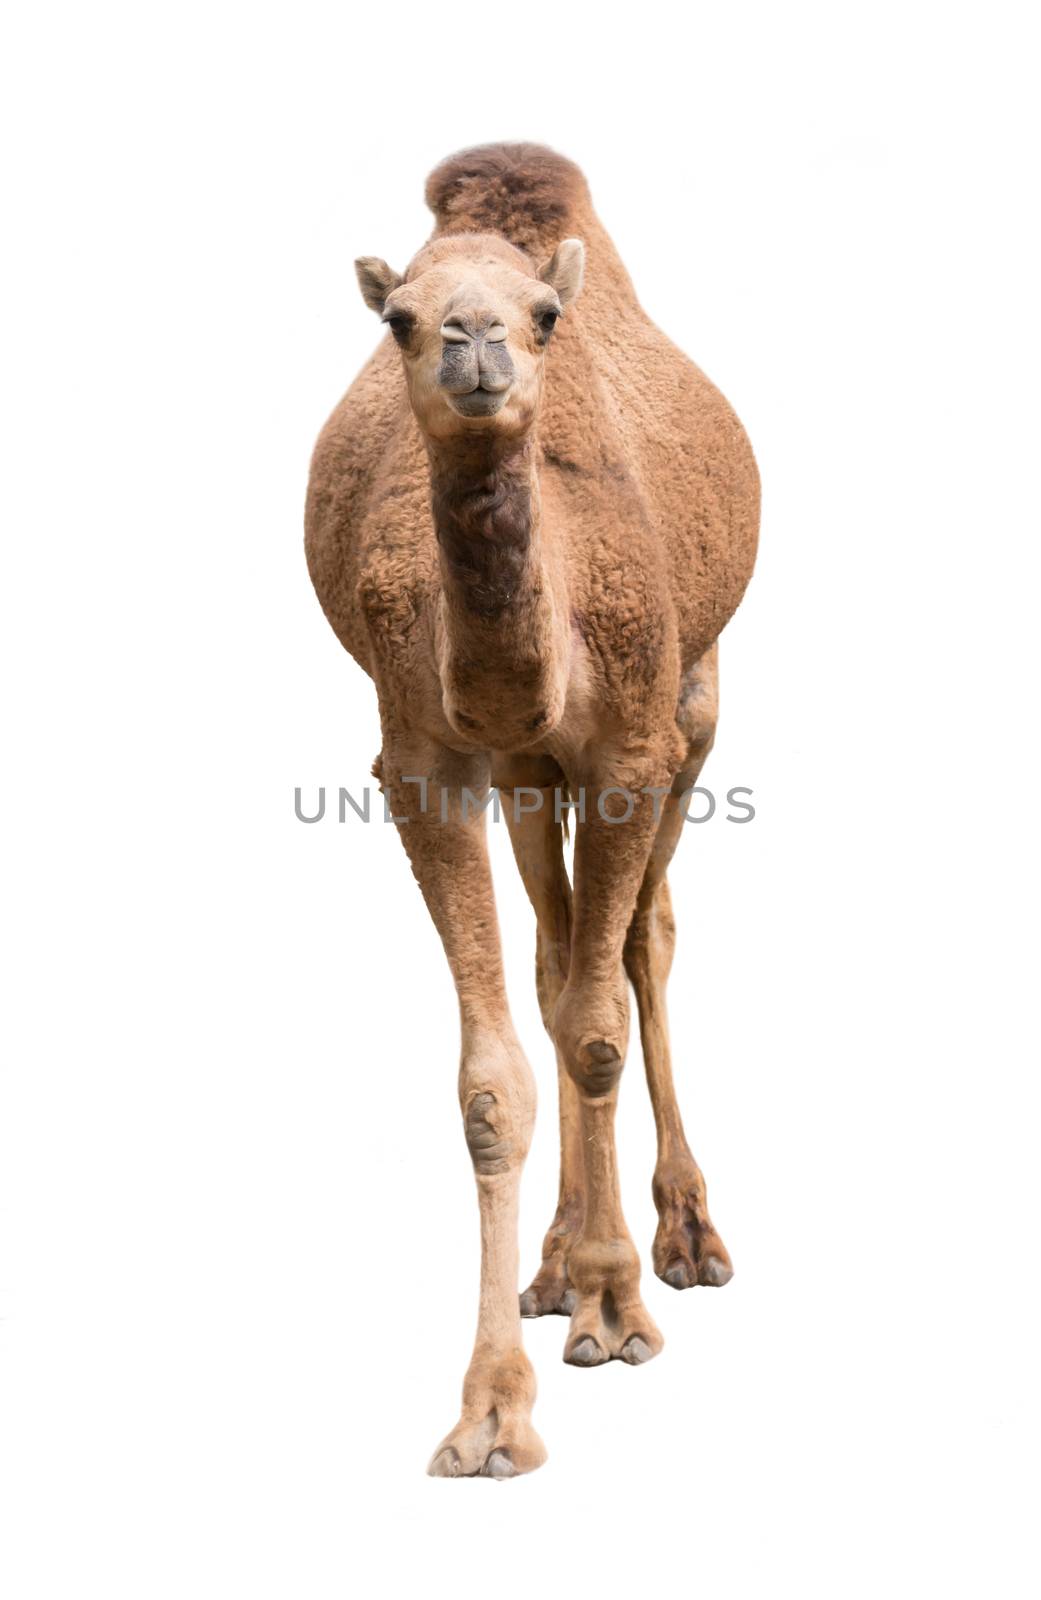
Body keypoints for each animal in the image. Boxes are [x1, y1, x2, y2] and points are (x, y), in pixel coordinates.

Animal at [305, 144, 761, 1478]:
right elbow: (497, 1072)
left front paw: (621, 1304)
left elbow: (603, 1020)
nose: (474, 343)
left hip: (697, 704)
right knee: (562, 952)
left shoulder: (633, 742)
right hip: (523, 774)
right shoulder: (428, 761)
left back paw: (684, 1242)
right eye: (399, 318)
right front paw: (494, 1411)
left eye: (546, 315)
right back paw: (557, 1263)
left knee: (643, 942)